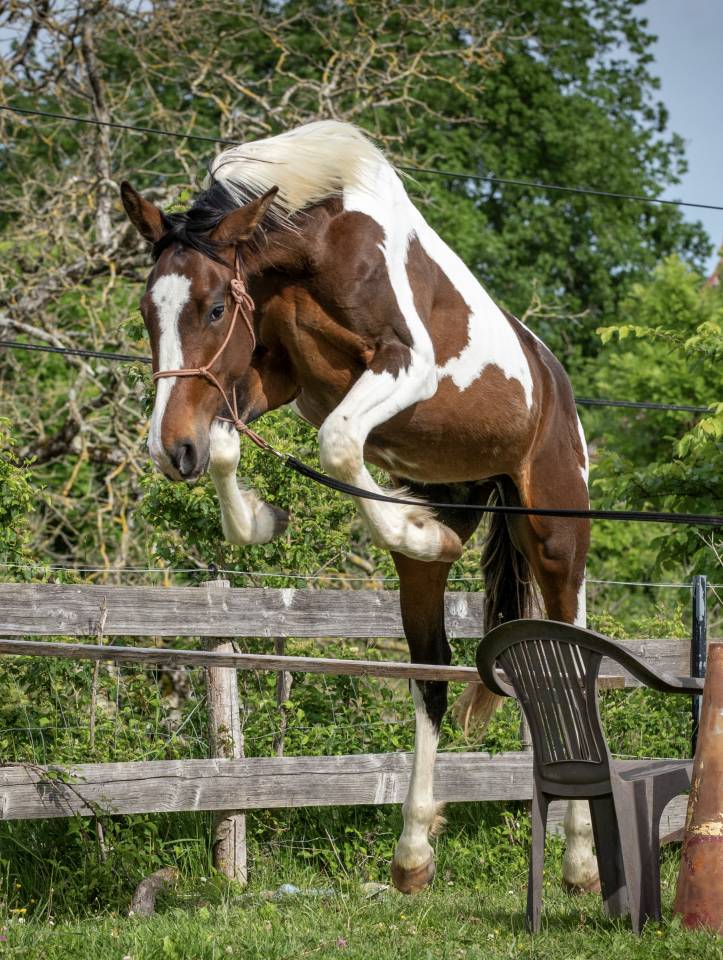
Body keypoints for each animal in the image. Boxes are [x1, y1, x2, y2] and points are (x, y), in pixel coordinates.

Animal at [121, 120, 597, 895]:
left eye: (215, 308)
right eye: (146, 313)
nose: (169, 451)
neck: (317, 246)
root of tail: (553, 382)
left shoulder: (405, 364)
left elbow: (338, 443)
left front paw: (417, 530)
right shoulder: (270, 372)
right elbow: (228, 446)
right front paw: (263, 520)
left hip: (556, 539)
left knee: (570, 670)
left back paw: (582, 863)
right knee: (431, 678)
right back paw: (413, 853)